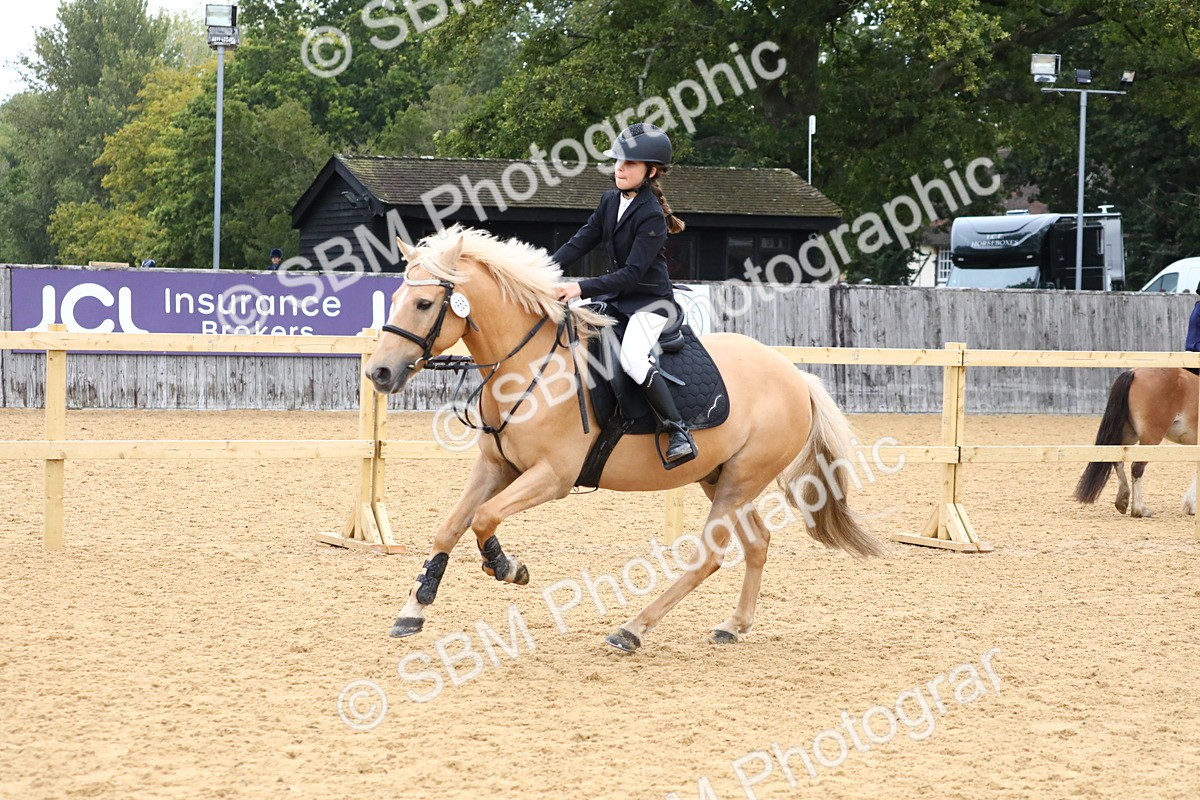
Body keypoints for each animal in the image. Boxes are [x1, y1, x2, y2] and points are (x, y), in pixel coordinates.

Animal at [365, 226, 888, 653]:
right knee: (757, 543)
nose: (379, 373)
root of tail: (796, 376)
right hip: (721, 479)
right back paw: (732, 626)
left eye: (424, 304)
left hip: (742, 478)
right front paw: (414, 608)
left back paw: (631, 629)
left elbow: (483, 518)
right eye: (397, 298)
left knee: (708, 557)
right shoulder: (497, 467)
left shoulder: (551, 477)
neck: (529, 365)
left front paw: (507, 567)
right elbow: (452, 525)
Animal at [1074, 368, 1198, 517]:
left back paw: (1122, 501)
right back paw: (1139, 510)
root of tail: (1133, 372)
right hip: (1150, 438)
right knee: (1137, 468)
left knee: (1118, 459)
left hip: (1129, 433)